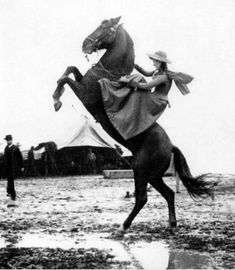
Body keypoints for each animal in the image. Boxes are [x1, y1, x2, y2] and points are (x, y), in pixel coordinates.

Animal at [52, 16, 213, 232]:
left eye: (105, 27)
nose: (85, 45)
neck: (109, 74)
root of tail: (171, 146)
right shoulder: (82, 82)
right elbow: (71, 69)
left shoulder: (84, 94)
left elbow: (65, 78)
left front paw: (56, 101)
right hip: (153, 176)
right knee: (168, 193)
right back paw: (171, 224)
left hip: (141, 170)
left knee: (142, 198)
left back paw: (123, 227)